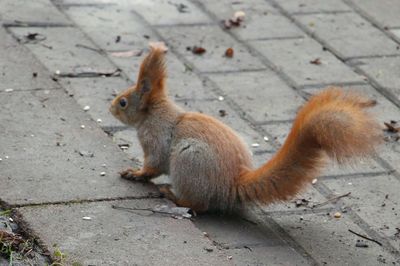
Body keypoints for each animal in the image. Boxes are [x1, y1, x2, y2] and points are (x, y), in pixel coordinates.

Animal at [109, 45, 382, 212]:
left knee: (198, 205)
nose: (110, 107)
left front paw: (136, 173)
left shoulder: (155, 137)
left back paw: (172, 194)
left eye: (123, 102)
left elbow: (153, 164)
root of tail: (231, 184)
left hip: (189, 162)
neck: (154, 112)